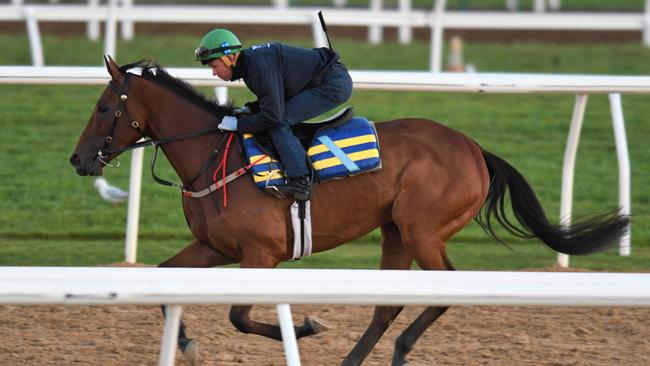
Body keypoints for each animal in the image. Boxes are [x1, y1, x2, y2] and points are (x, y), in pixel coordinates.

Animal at [68, 55, 624, 364]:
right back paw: (357, 359)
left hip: (423, 230)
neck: (213, 155)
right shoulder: (213, 248)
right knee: (388, 304)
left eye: (102, 107)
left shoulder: (261, 254)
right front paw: (185, 345)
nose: (77, 159)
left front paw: (308, 327)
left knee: (443, 290)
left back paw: (400, 351)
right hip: (396, 231)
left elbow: (240, 316)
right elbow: (164, 282)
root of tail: (474, 148)